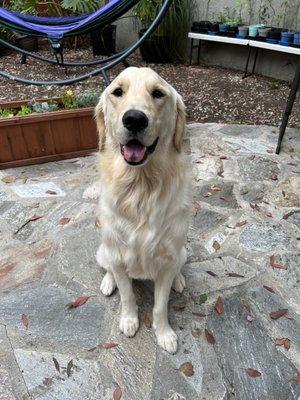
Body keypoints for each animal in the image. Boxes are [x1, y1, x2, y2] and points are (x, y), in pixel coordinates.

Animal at [95, 67, 191, 354]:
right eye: (118, 91)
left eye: (158, 93)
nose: (135, 119)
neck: (140, 188)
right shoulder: (117, 254)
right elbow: (127, 295)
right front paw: (129, 321)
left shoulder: (168, 257)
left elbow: (160, 305)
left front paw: (164, 334)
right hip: (103, 250)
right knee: (108, 268)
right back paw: (108, 282)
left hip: (183, 251)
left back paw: (179, 281)